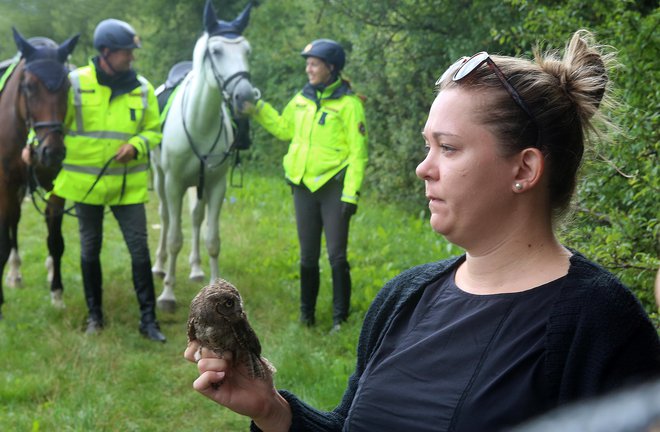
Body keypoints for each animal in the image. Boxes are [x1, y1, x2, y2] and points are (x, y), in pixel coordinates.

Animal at [0, 28, 78, 318]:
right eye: (29, 86)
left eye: (67, 87)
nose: (52, 151)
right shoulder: (6, 184)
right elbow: (3, 240)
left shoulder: (56, 186)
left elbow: (55, 241)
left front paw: (57, 293)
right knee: (12, 224)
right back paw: (14, 273)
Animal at [151, 0, 258, 310]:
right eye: (217, 51)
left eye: (247, 51)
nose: (246, 97)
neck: (199, 121)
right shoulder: (174, 185)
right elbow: (175, 237)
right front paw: (167, 294)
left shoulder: (216, 186)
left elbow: (212, 239)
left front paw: (214, 286)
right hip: (161, 179)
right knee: (165, 218)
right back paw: (159, 265)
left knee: (197, 219)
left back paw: (196, 269)